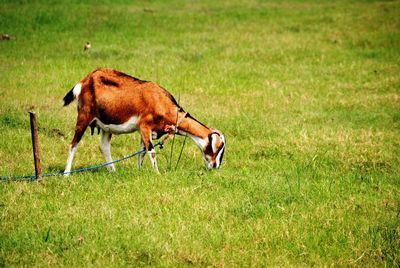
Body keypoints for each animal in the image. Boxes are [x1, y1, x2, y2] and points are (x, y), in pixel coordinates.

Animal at [62, 67, 225, 174]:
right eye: (218, 147)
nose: (216, 166)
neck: (161, 102)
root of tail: (85, 80)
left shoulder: (146, 131)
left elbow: (142, 152)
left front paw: (139, 171)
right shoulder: (145, 126)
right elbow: (151, 151)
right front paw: (157, 174)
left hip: (107, 124)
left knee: (103, 146)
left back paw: (113, 171)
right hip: (84, 116)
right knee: (73, 144)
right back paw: (66, 173)